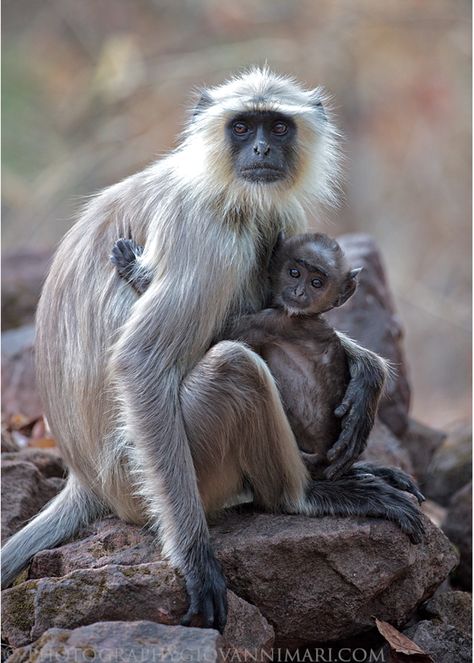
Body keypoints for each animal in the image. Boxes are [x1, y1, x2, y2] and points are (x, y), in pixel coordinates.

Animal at [113, 231, 424, 496]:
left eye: (317, 282)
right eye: (294, 272)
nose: (299, 292)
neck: (308, 316)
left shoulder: (277, 321)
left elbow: (217, 333)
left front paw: (135, 270)